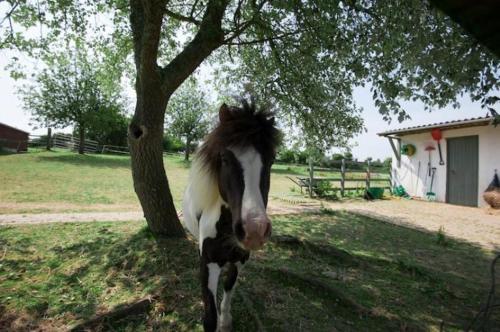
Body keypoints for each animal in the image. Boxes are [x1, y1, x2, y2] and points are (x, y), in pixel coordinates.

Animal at [183, 100, 282, 330]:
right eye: (225, 158)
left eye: (272, 159)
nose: (255, 230)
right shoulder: (209, 264)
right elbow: (209, 317)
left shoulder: (240, 259)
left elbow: (229, 287)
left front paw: (226, 320)